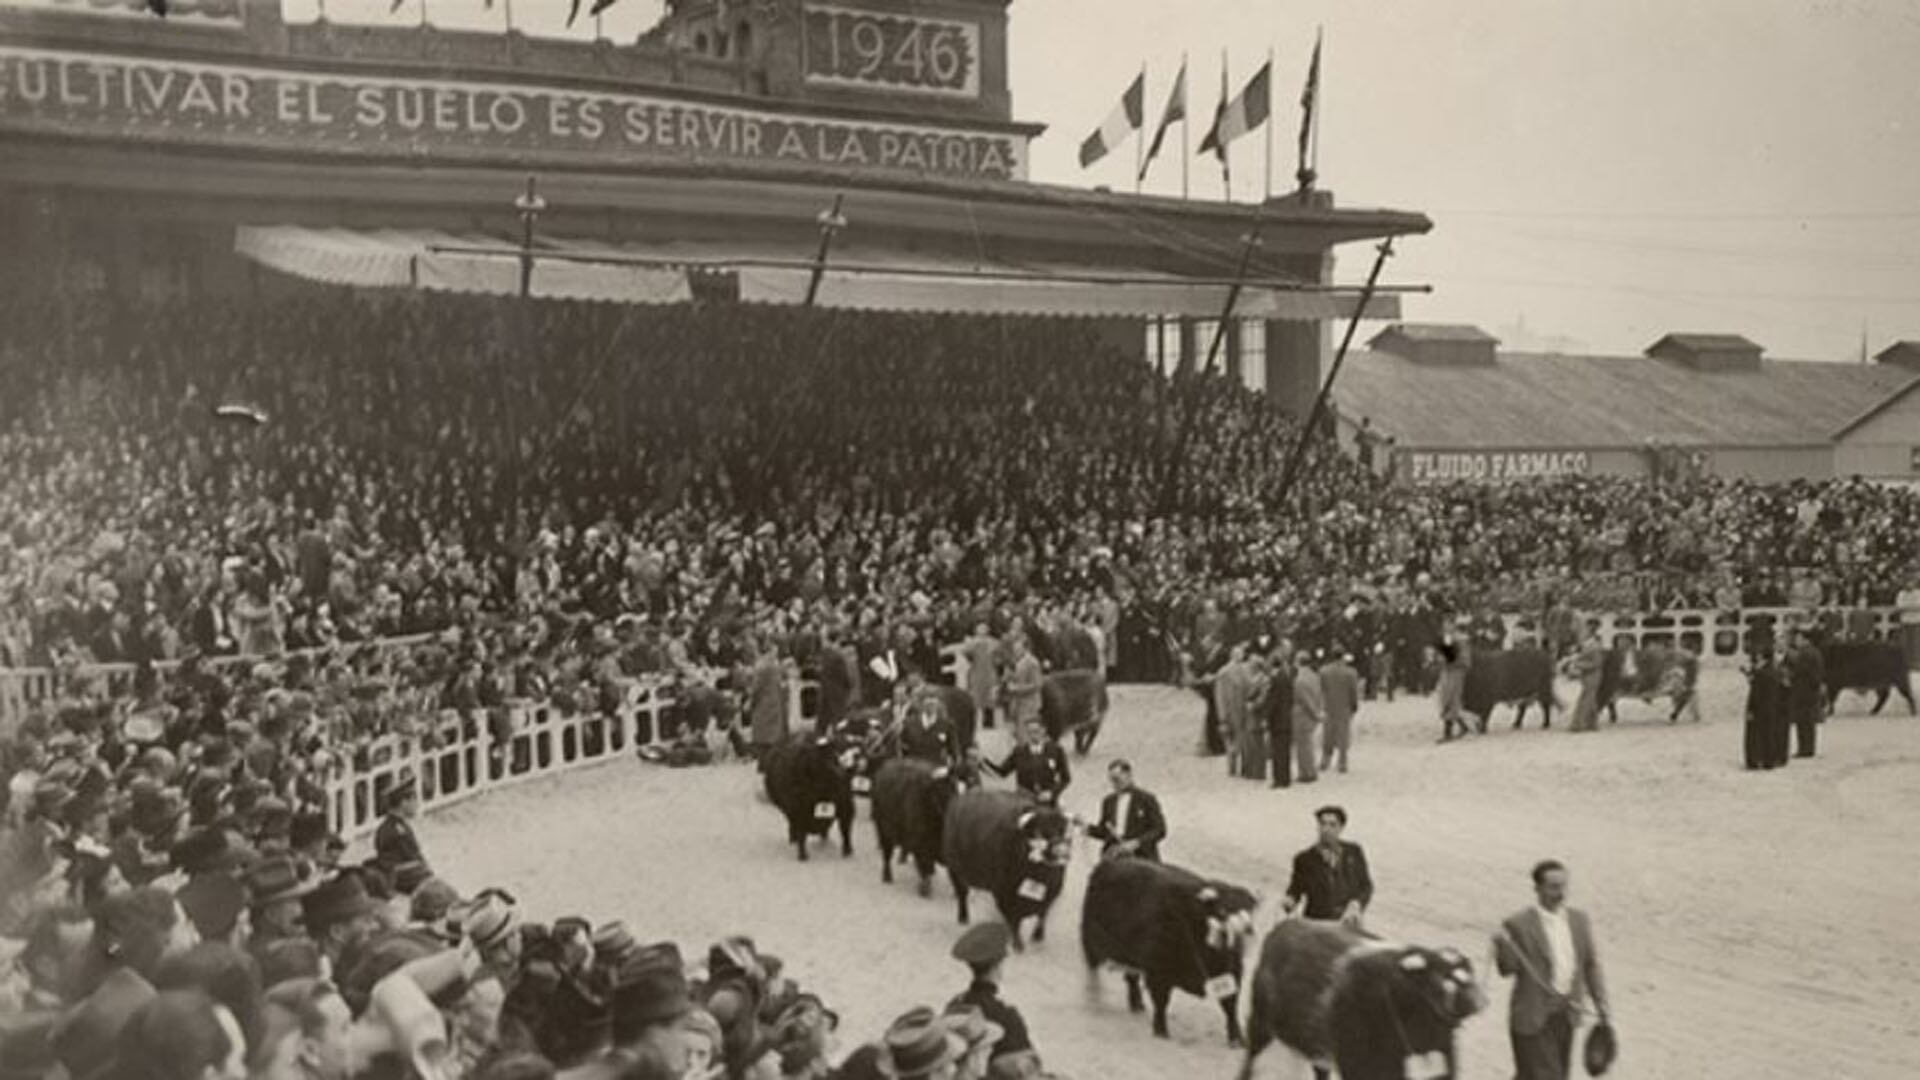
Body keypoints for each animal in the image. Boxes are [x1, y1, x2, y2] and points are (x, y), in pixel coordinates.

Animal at [760, 722, 860, 857]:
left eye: (851, 754)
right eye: (833, 754)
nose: (848, 770)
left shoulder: (845, 804)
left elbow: (845, 829)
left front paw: (847, 850)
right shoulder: (798, 808)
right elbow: (801, 831)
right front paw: (802, 854)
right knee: (793, 824)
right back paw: (794, 839)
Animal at [871, 753, 967, 895]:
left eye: (958, 790)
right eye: (943, 791)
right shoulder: (921, 845)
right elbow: (924, 865)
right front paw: (925, 888)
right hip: (883, 830)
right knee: (887, 853)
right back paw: (887, 876)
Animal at [936, 787, 1075, 945]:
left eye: (1063, 831)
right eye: (1038, 832)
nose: (1061, 851)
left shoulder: (1050, 896)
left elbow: (1042, 915)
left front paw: (1038, 936)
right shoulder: (1004, 897)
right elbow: (1014, 922)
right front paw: (1017, 944)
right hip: (954, 870)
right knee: (962, 893)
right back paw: (963, 917)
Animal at [1082, 849, 1259, 1045]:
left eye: (1248, 911)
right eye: (1222, 910)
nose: (1247, 929)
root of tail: (1107, 865)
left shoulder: (1231, 972)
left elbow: (1230, 1005)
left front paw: (1238, 1038)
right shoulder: (1159, 971)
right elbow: (1161, 1001)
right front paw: (1161, 1030)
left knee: (1132, 977)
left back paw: (1137, 1004)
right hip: (1090, 940)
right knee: (1093, 969)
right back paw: (1094, 998)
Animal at [1236, 910, 1489, 1076]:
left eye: (1468, 972)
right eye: (1441, 979)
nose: (1480, 1000)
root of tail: (1281, 929)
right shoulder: (1363, 1065)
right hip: (1261, 1022)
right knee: (1251, 1055)